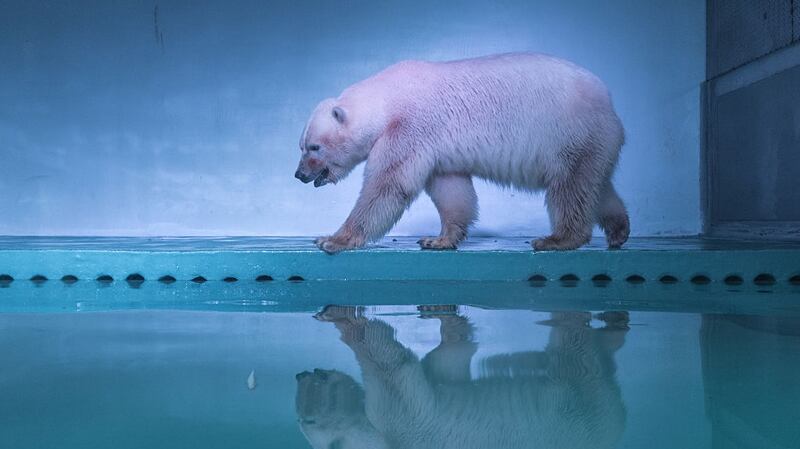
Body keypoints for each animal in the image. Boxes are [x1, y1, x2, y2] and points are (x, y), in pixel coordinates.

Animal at [294, 52, 629, 253]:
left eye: (314, 146)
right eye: (302, 145)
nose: (299, 174)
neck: (388, 100)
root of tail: (608, 101)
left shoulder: (411, 127)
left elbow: (388, 184)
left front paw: (332, 239)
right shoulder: (437, 147)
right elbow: (451, 190)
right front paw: (438, 239)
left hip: (570, 134)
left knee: (569, 187)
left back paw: (557, 239)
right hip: (592, 142)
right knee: (594, 186)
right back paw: (618, 230)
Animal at [295, 306, 629, 449]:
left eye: (307, 420)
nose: (301, 375)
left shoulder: (404, 428)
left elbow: (395, 369)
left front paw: (338, 314)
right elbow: (442, 364)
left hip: (578, 410)